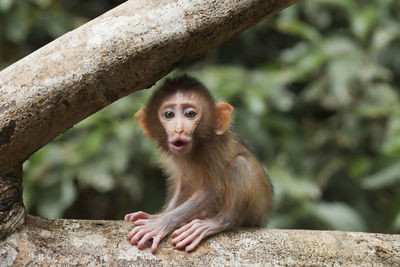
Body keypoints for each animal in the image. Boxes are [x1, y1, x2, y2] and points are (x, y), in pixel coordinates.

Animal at [125, 75, 274, 253]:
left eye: (190, 114)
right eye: (169, 114)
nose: (179, 130)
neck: (195, 149)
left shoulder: (212, 150)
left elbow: (212, 189)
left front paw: (159, 224)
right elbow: (185, 184)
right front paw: (158, 216)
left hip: (258, 207)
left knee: (240, 164)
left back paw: (217, 222)